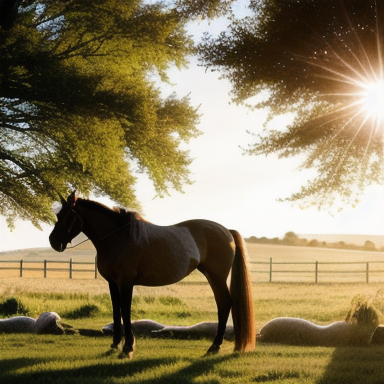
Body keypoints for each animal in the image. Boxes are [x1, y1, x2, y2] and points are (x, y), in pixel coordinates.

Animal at [50, 191, 255, 356]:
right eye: (58, 214)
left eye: (66, 216)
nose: (53, 241)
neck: (118, 237)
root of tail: (226, 231)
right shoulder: (113, 283)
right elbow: (116, 311)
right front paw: (115, 344)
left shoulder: (125, 283)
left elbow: (125, 312)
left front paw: (128, 348)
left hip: (216, 276)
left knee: (224, 303)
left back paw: (214, 347)